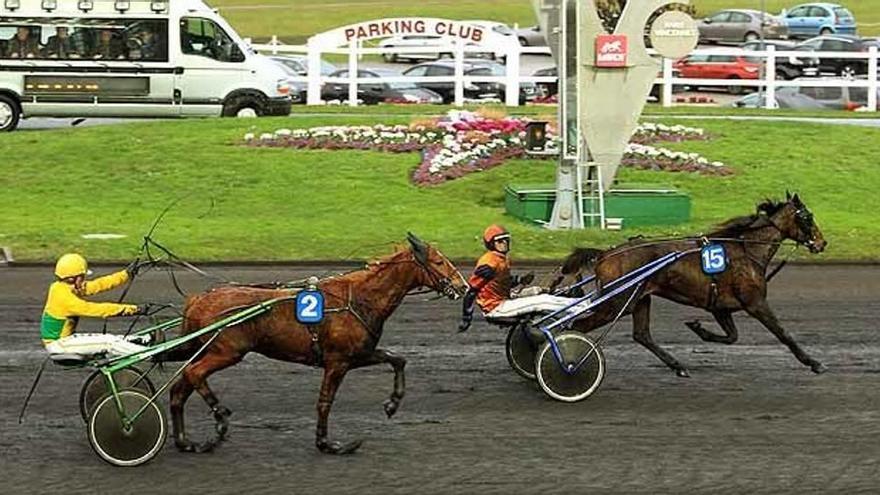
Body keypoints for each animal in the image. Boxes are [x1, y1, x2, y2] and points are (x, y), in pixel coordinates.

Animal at [167, 234, 468, 456]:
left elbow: (397, 358)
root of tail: (198, 298)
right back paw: (219, 418)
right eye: (439, 261)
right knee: (193, 374)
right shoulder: (338, 362)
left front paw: (392, 404)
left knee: (179, 388)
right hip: (226, 352)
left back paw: (186, 441)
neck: (359, 299)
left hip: (207, 350)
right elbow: (325, 402)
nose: (463, 286)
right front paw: (329, 444)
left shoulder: (357, 355)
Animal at [560, 193, 828, 376]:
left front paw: (698, 328)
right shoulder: (755, 302)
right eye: (807, 217)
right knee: (578, 326)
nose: (822, 243)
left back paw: (678, 366)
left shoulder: (720, 307)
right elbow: (783, 334)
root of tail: (606, 254)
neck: (746, 251)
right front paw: (813, 362)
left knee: (642, 335)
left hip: (639, 299)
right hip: (617, 303)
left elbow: (732, 337)